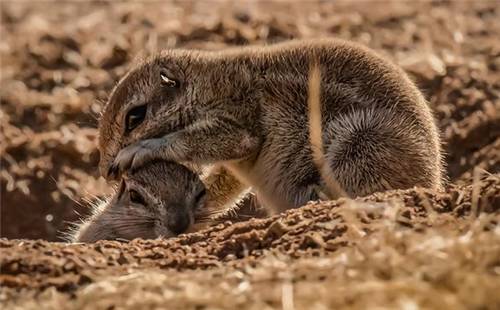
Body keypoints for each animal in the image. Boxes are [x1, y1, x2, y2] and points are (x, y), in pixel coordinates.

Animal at [99, 38, 444, 213]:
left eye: (135, 115)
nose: (104, 172)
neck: (202, 84)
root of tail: (435, 184)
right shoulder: (236, 165)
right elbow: (223, 183)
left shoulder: (236, 118)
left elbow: (199, 139)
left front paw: (137, 151)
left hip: (360, 145)